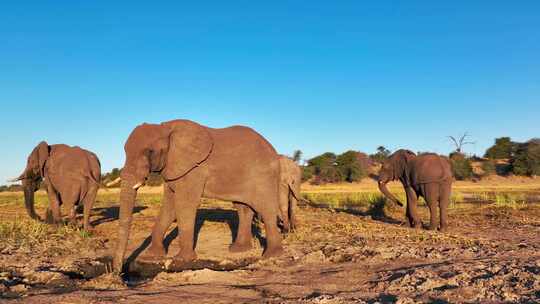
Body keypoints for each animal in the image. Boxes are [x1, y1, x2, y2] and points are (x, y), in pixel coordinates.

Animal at [112, 119, 284, 270]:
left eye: (150, 151)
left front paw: (181, 259)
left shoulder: (194, 169)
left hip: (263, 175)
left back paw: (271, 255)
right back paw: (238, 249)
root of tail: (273, 149)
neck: (166, 128)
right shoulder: (173, 169)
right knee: (243, 209)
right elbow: (169, 207)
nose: (119, 273)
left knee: (265, 209)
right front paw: (152, 256)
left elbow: (184, 204)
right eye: (125, 150)